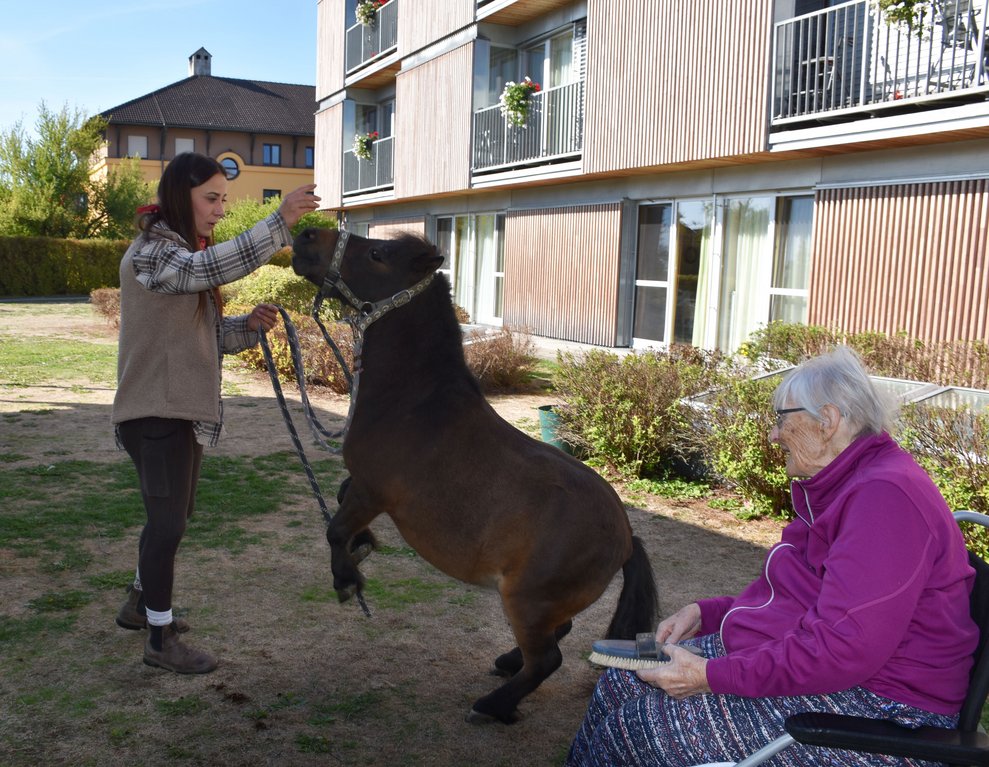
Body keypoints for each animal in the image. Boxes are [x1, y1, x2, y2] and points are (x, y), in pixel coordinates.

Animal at [291, 228, 659, 724]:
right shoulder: (364, 490)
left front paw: (347, 579)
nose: (306, 235)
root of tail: (625, 537)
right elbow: (340, 503)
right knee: (558, 633)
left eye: (377, 253)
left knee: (548, 658)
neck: (415, 403)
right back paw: (506, 664)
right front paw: (362, 547)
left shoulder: (372, 491)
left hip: (527, 601)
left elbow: (334, 529)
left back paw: (492, 705)